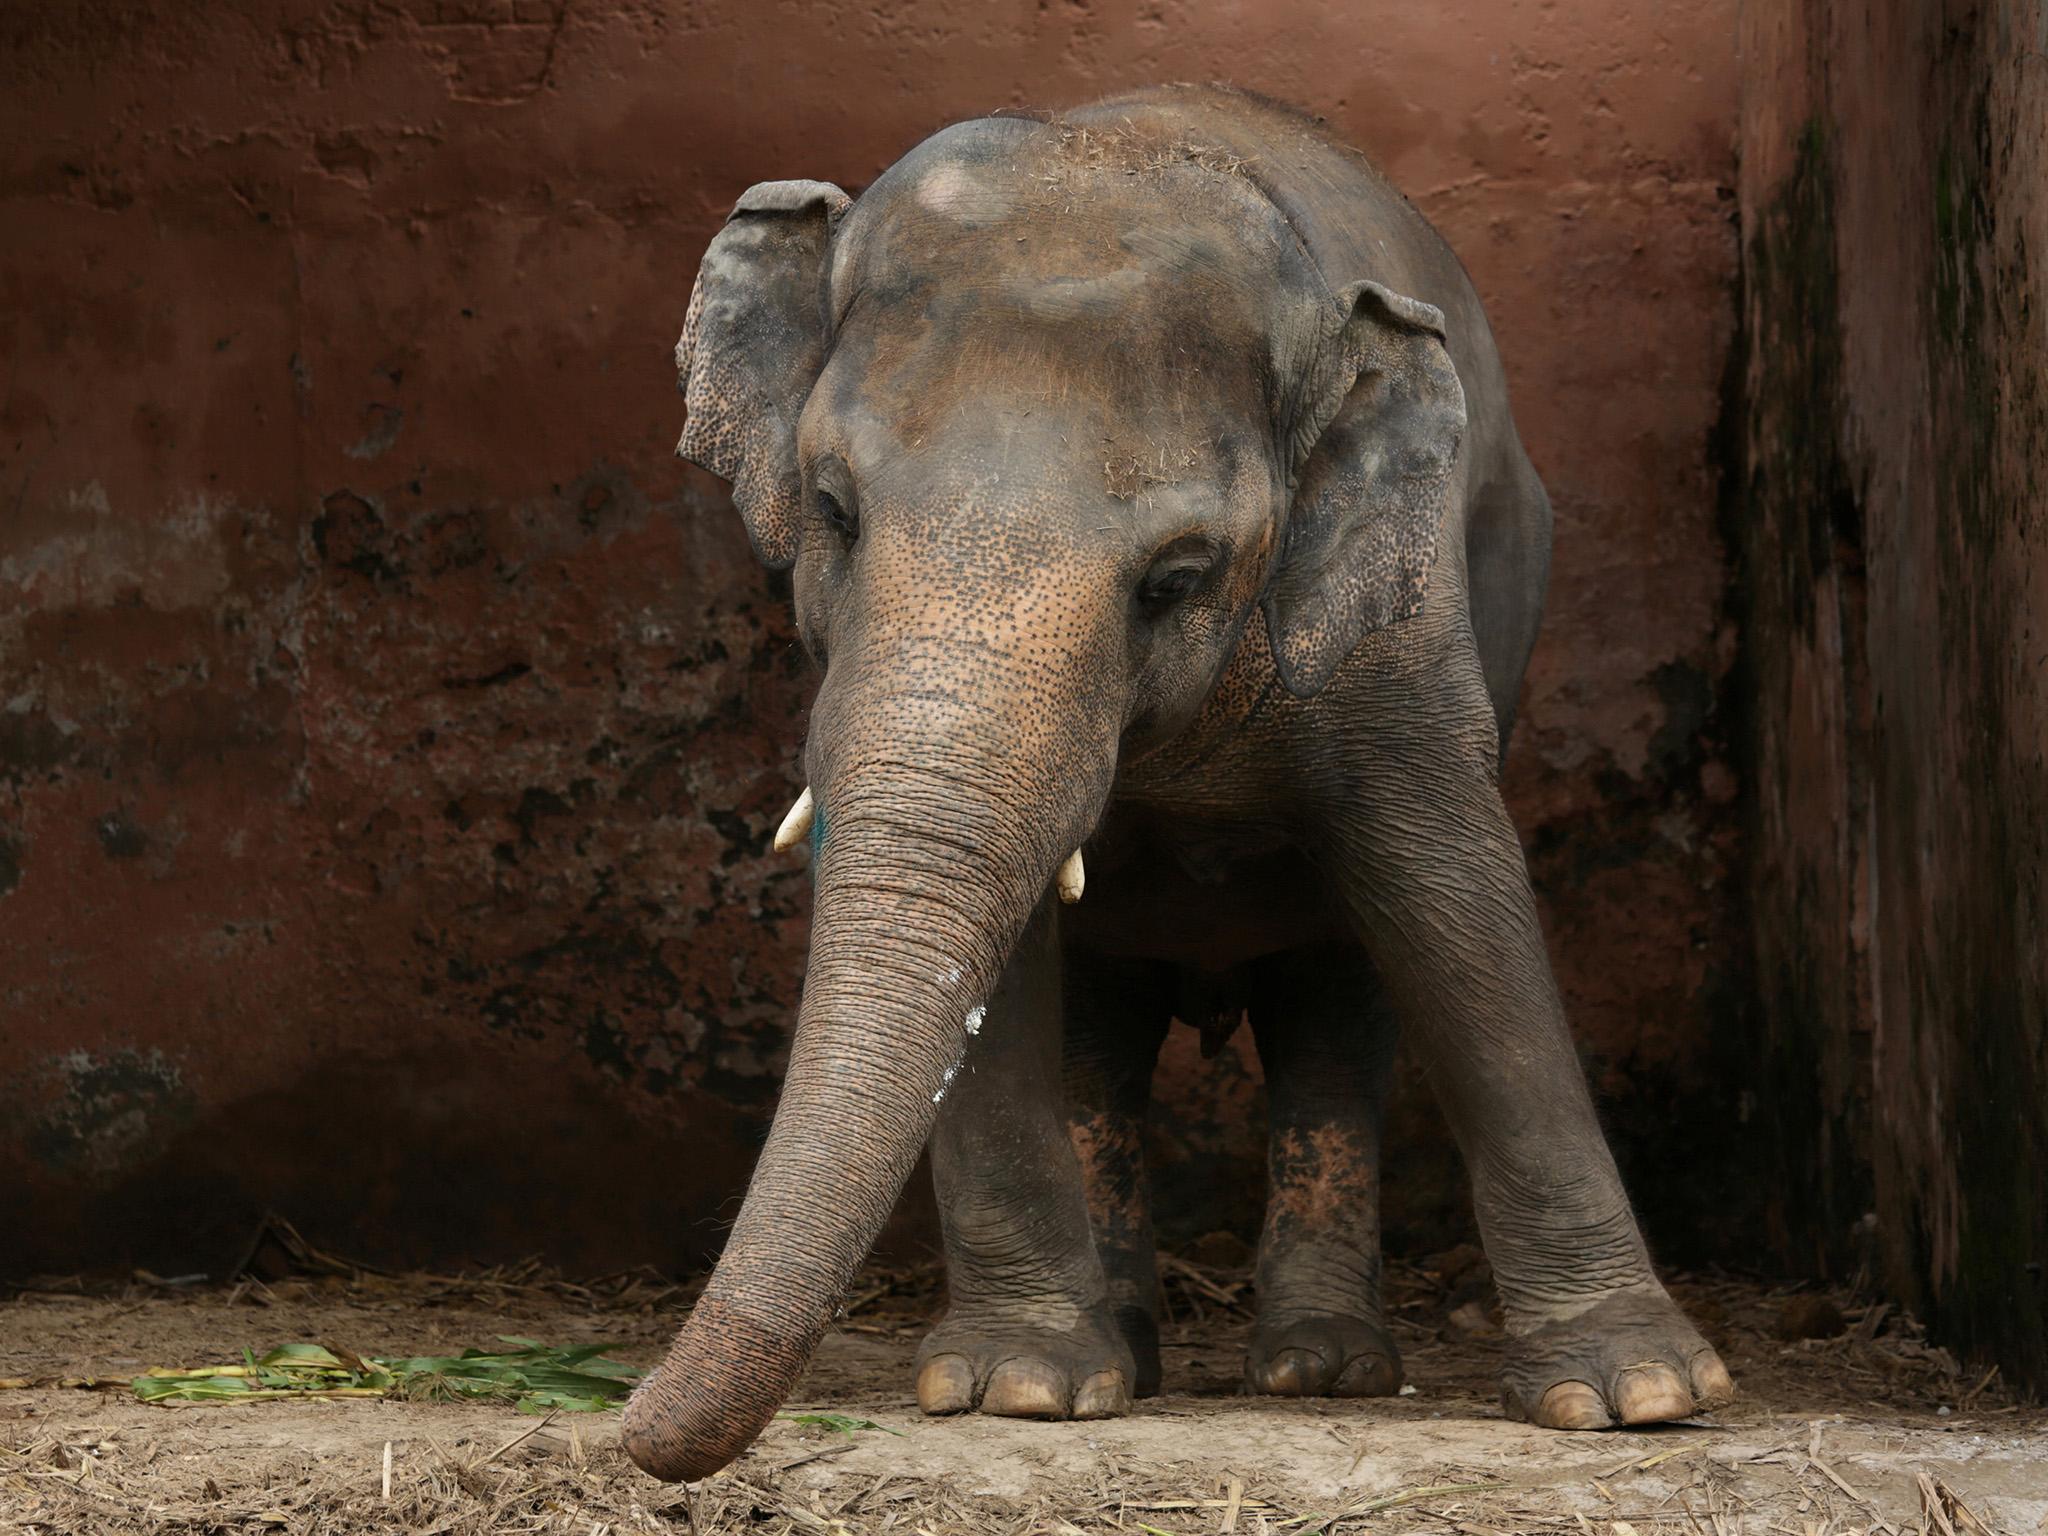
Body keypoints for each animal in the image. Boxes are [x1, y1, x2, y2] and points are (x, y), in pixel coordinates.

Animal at [622, 87, 1728, 1490]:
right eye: (831, 511)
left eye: (1176, 578)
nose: (625, 1421)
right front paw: (1018, 1387)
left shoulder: (1403, 621)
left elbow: (1454, 894)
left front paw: (1639, 1394)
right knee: (1105, 1026)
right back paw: (1132, 1354)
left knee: (1337, 1005)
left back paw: (1322, 1369)